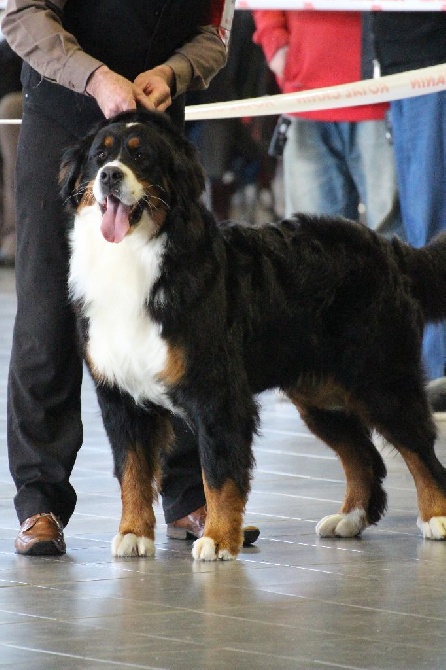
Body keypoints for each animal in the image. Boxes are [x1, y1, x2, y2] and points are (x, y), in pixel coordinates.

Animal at [60, 109, 446, 560]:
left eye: (141, 158)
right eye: (100, 156)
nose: (109, 176)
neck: (136, 258)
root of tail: (386, 245)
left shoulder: (217, 394)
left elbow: (219, 473)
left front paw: (218, 538)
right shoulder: (121, 397)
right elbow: (132, 472)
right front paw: (134, 533)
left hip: (381, 380)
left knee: (420, 449)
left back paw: (436, 517)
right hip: (322, 395)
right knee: (363, 456)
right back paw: (349, 518)